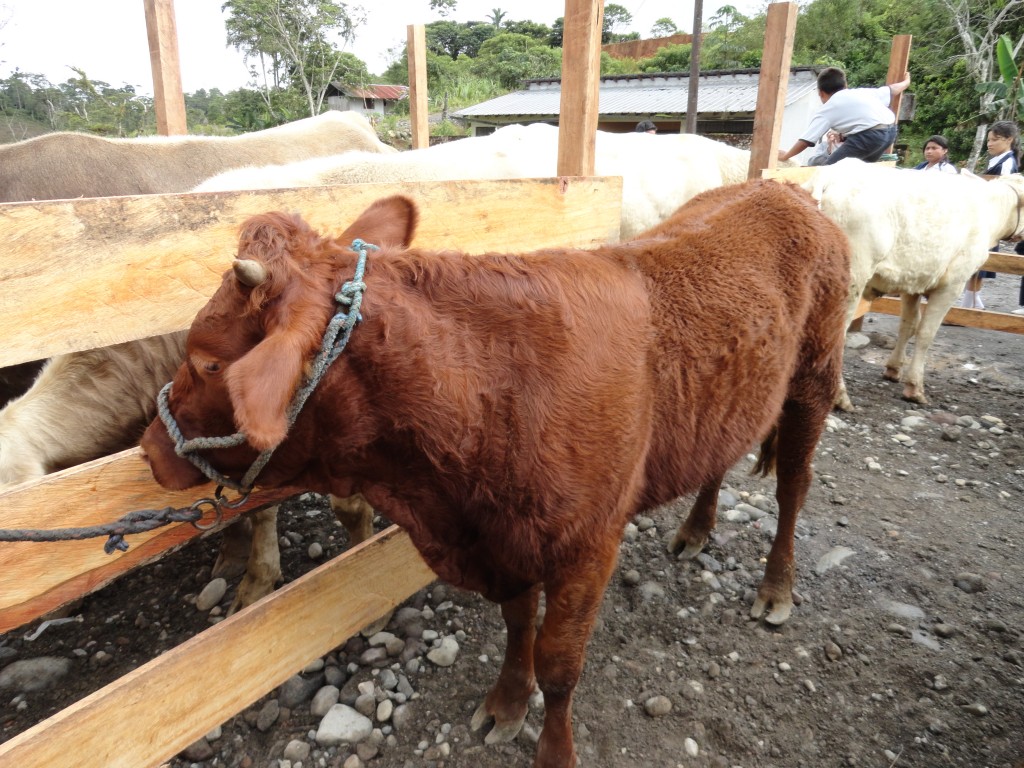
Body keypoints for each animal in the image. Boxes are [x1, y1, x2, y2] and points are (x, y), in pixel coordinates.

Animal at [142, 182, 847, 768]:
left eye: (207, 361)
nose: (149, 449)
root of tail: (784, 189)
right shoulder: (504, 539)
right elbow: (517, 626)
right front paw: (507, 704)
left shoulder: (587, 545)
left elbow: (559, 665)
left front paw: (555, 753)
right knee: (721, 456)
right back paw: (696, 530)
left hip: (814, 378)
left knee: (793, 487)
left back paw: (777, 587)